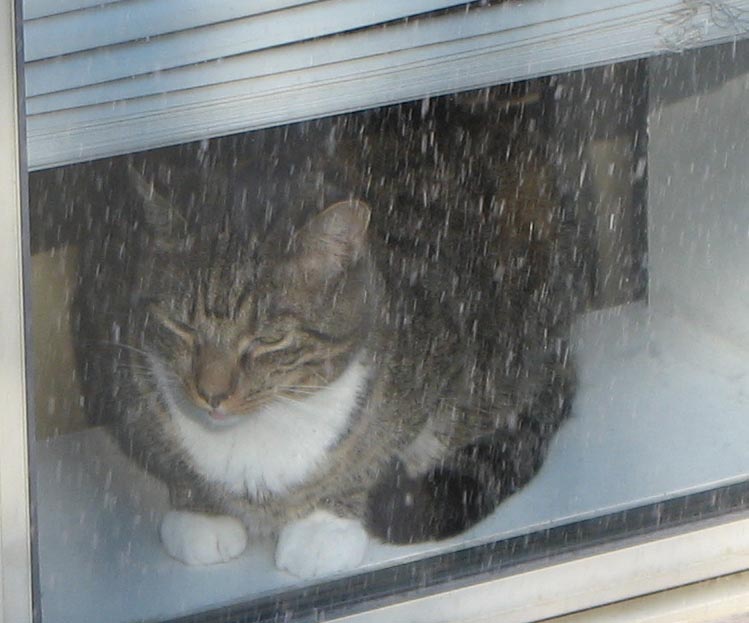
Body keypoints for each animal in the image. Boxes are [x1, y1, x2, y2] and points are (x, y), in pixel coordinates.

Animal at [73, 85, 579, 578]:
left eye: (268, 340)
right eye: (181, 326)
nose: (212, 395)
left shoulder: (446, 349)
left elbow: (374, 450)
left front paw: (325, 524)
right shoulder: (115, 360)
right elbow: (167, 453)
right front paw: (201, 512)